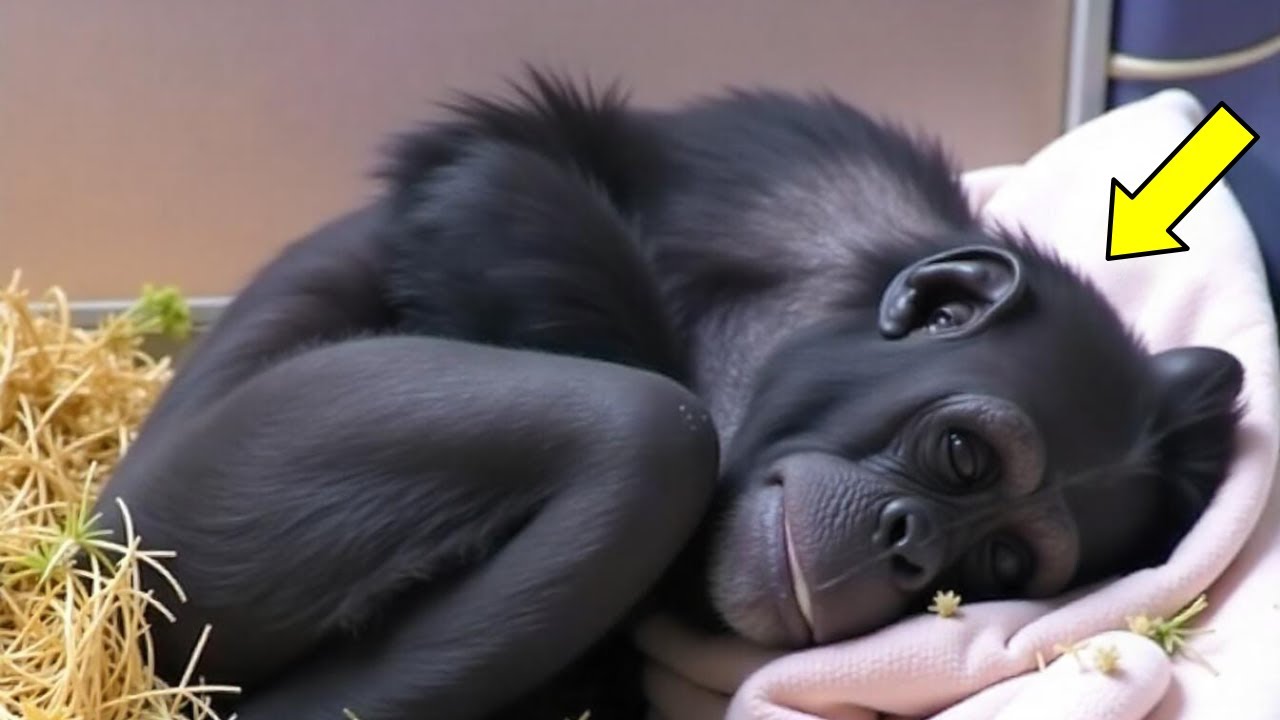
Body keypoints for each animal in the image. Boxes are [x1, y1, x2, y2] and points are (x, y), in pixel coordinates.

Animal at [91, 70, 1244, 720]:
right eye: (963, 458)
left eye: (998, 566)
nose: (909, 542)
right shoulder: (804, 171)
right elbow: (493, 177)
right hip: (178, 530)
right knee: (648, 430)